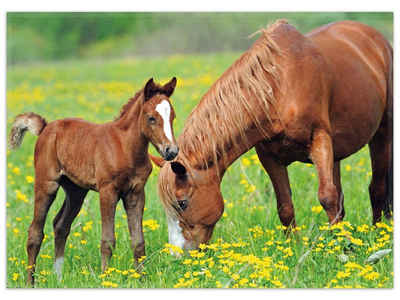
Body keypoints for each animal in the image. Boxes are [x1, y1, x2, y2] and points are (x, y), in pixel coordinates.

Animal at [9, 76, 179, 284]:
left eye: (172, 117)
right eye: (151, 118)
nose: (171, 151)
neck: (125, 147)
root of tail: (45, 128)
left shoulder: (136, 193)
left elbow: (138, 241)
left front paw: (142, 279)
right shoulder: (108, 191)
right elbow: (108, 240)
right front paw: (105, 277)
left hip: (76, 191)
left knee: (61, 225)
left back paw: (58, 278)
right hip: (46, 184)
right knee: (35, 232)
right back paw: (30, 282)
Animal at [152, 20, 392, 251]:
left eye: (182, 202)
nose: (177, 253)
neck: (280, 87)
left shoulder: (320, 139)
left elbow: (327, 196)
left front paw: (341, 246)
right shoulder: (269, 157)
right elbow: (285, 206)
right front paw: (292, 248)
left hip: (382, 133)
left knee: (377, 188)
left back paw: (380, 233)